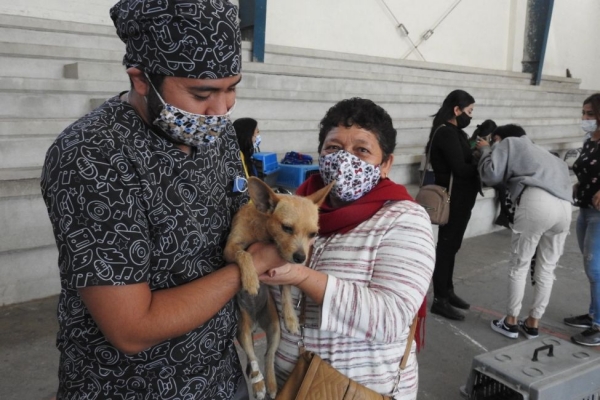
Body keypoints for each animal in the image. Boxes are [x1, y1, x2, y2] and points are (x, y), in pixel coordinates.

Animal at [224, 178, 330, 400]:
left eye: (313, 234)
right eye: (286, 228)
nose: (300, 258)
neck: (264, 232)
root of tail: (255, 323)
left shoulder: (282, 269)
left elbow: (287, 290)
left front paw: (291, 318)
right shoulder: (229, 249)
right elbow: (244, 253)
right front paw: (250, 279)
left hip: (274, 328)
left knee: (268, 354)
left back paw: (271, 384)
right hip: (242, 331)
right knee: (252, 356)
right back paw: (258, 385)